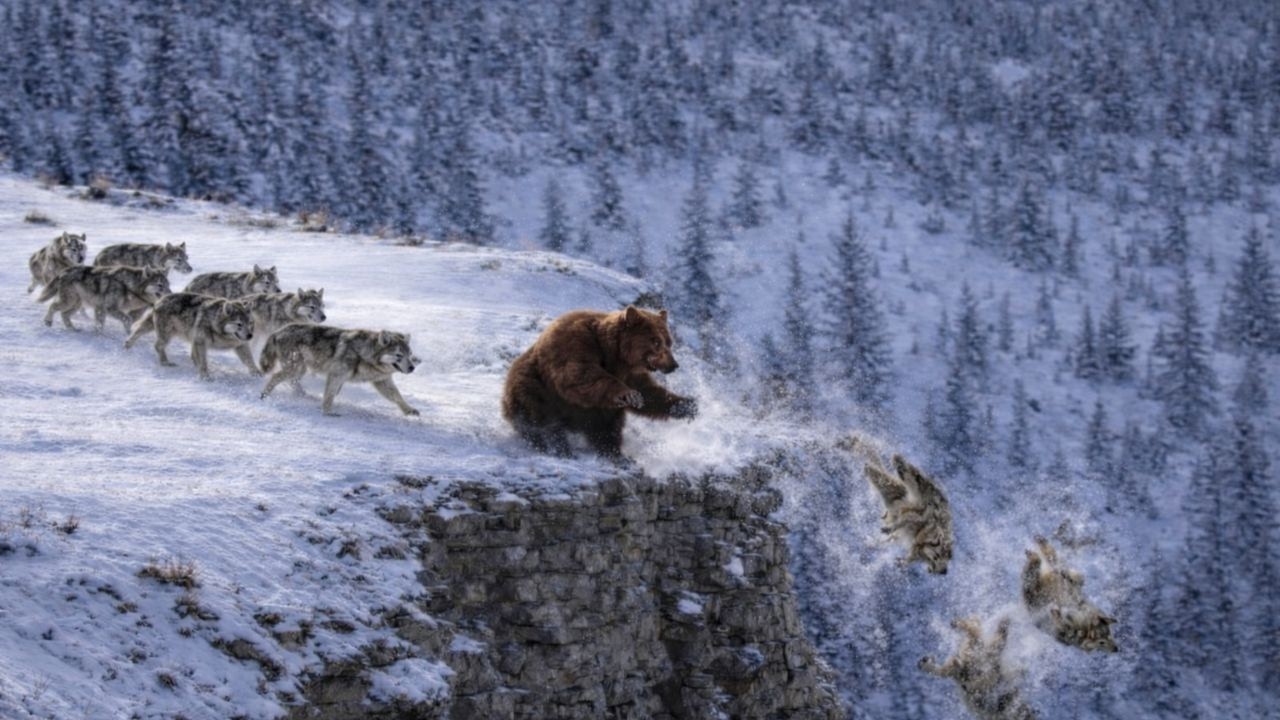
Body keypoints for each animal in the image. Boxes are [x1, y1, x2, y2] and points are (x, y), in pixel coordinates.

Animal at [38, 266, 171, 332]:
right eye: (160, 285)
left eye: (168, 284)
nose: (170, 294)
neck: (128, 286)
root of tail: (64, 271)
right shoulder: (109, 308)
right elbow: (127, 319)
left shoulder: (101, 309)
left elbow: (101, 323)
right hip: (69, 301)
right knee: (53, 306)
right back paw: (48, 321)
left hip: (76, 304)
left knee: (64, 314)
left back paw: (73, 329)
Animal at [125, 293, 257, 379]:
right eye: (239, 324)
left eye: (250, 323)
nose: (250, 336)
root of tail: (160, 300)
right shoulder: (201, 342)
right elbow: (203, 362)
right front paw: (205, 377)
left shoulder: (240, 345)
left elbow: (250, 361)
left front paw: (257, 375)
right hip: (167, 335)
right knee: (157, 345)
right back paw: (165, 362)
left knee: (137, 332)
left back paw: (127, 346)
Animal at [259, 325, 420, 417]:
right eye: (399, 355)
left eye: (409, 354)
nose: (412, 368)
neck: (364, 354)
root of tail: (277, 331)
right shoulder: (336, 376)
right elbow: (329, 395)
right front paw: (328, 412)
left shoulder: (382, 381)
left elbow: (397, 396)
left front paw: (409, 410)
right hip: (296, 369)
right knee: (275, 377)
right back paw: (264, 395)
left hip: (299, 370)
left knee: (291, 382)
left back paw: (303, 395)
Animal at [502, 305, 698, 459]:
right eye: (656, 341)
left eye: (669, 342)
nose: (673, 365)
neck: (614, 353)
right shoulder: (575, 344)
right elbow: (579, 375)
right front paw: (629, 395)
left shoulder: (629, 373)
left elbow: (649, 392)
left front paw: (686, 405)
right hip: (534, 389)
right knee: (541, 419)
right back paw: (557, 446)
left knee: (607, 427)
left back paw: (614, 452)